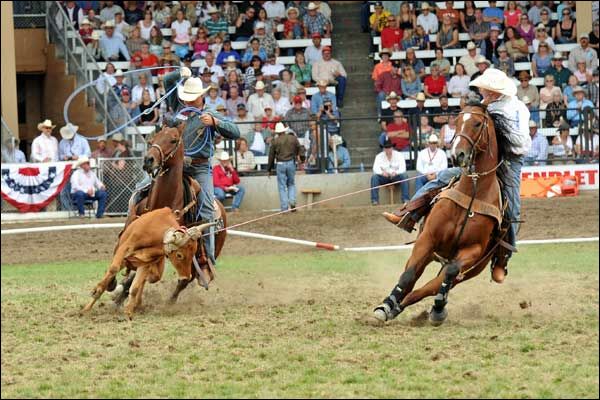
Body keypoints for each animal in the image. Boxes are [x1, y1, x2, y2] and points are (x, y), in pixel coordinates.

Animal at [82, 206, 213, 318]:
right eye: (179, 255)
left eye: (194, 253)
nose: (186, 277)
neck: (154, 233)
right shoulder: (124, 249)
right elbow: (113, 269)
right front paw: (90, 301)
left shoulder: (145, 262)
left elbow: (135, 287)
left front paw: (128, 311)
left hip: (155, 269)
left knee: (148, 279)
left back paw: (137, 303)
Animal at [372, 103, 508, 324]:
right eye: (458, 121)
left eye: (477, 123)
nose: (457, 155)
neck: (471, 194)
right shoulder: (427, 239)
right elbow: (408, 275)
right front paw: (385, 305)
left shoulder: (472, 251)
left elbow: (449, 273)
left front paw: (437, 306)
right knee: (415, 281)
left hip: (470, 270)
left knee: (429, 288)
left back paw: (435, 308)